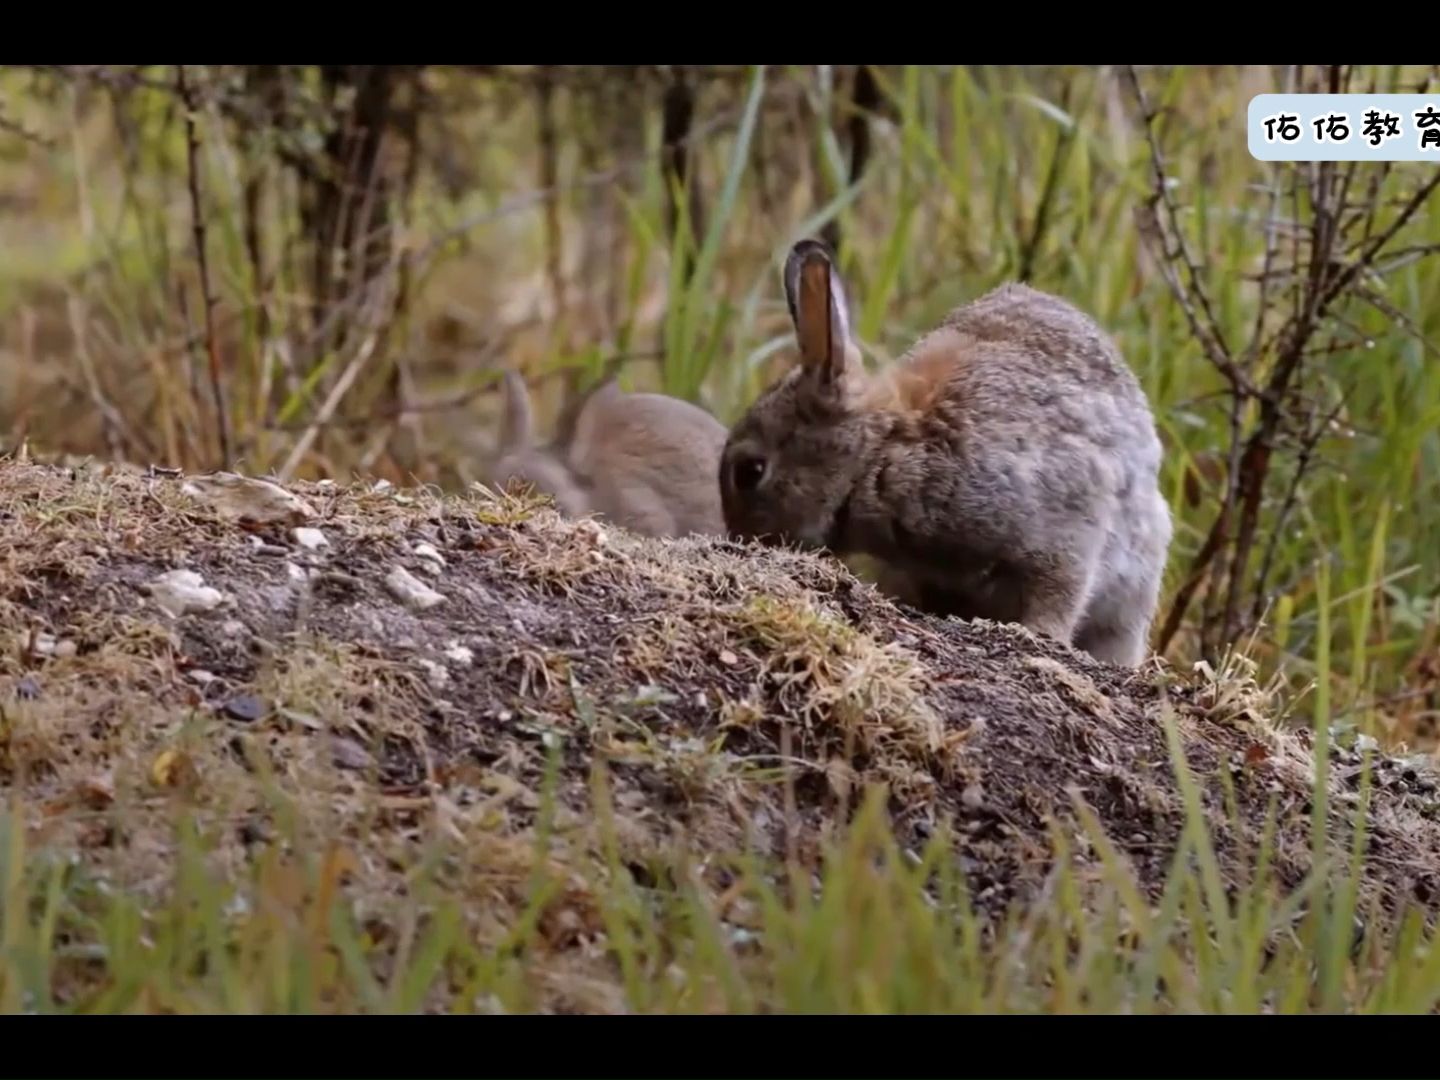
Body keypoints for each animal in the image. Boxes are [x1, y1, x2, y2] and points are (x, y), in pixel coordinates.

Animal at [717, 240, 1169, 668]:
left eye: (750, 471)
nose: (740, 541)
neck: (884, 450)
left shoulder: (1064, 530)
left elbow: (1058, 593)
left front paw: (1038, 635)